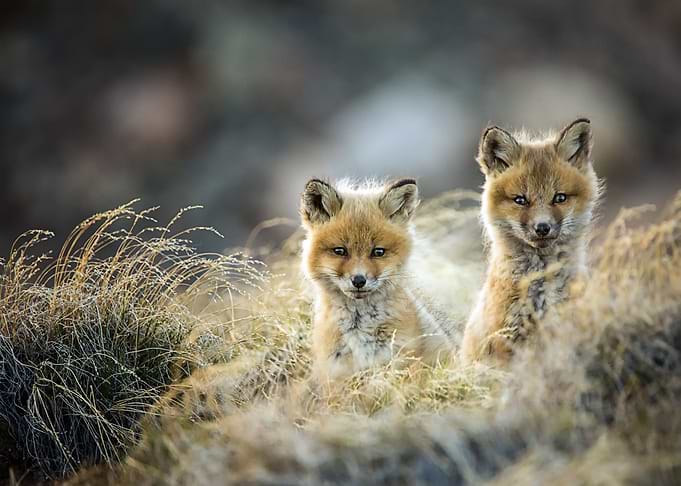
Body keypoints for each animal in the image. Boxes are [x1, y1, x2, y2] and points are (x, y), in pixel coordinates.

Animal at [300, 178, 455, 382]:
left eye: (378, 252)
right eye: (340, 251)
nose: (359, 280)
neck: (359, 328)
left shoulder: (402, 358)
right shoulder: (335, 371)